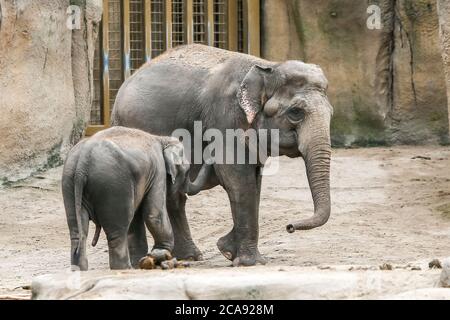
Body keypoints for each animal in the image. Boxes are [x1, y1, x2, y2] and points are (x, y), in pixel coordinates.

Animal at [61, 126, 211, 272]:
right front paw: (161, 254)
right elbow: (154, 214)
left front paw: (142, 259)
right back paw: (124, 268)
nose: (210, 157)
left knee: (77, 232)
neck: (161, 139)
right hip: (113, 184)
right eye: (187, 170)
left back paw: (80, 269)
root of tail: (83, 161)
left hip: (70, 182)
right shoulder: (158, 171)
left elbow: (135, 218)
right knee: (118, 231)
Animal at [110, 43, 332, 266]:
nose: (290, 226)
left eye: (331, 113)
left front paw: (228, 251)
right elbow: (237, 178)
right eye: (296, 113)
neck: (268, 66)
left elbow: (253, 181)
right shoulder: (225, 118)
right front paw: (248, 262)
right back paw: (142, 261)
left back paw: (189, 257)